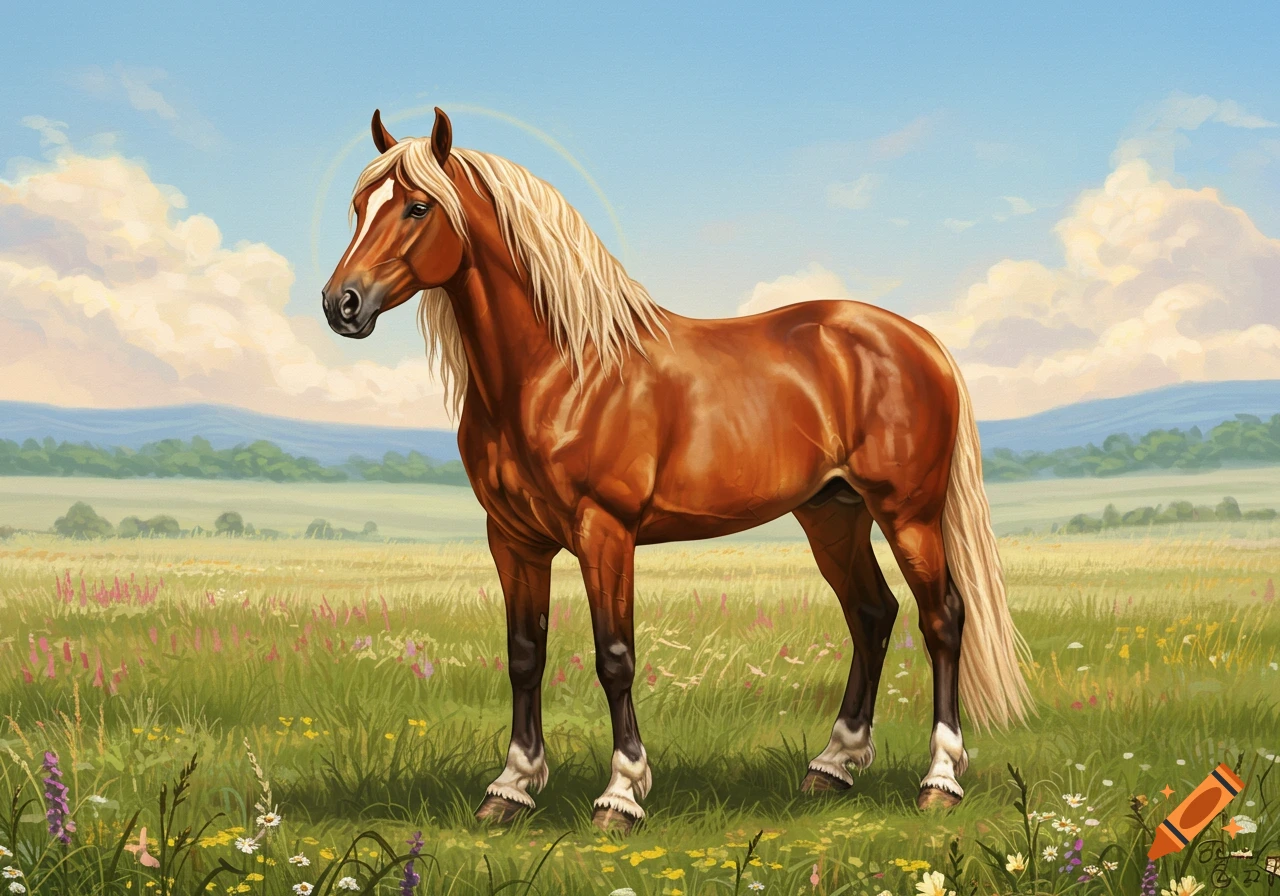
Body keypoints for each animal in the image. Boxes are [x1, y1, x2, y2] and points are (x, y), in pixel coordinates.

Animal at [322, 107, 1033, 833]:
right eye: (360, 206)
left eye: (417, 206)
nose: (341, 304)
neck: (561, 370)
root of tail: (920, 342)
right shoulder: (513, 538)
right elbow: (524, 655)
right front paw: (511, 786)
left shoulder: (606, 532)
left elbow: (614, 657)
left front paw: (622, 793)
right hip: (833, 514)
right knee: (871, 612)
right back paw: (832, 765)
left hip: (907, 512)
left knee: (942, 618)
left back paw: (939, 779)